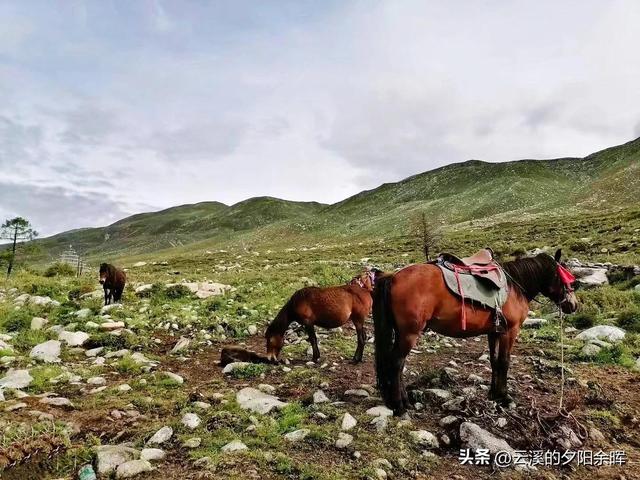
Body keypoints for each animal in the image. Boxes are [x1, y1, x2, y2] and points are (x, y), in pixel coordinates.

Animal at [372, 249, 576, 414]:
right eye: (565, 277)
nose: (573, 305)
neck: (515, 287)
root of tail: (394, 277)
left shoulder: (494, 332)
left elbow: (494, 361)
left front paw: (494, 393)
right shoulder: (510, 331)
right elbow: (504, 362)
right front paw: (504, 396)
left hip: (402, 333)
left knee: (397, 364)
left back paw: (404, 401)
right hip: (409, 334)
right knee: (396, 362)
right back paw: (399, 405)